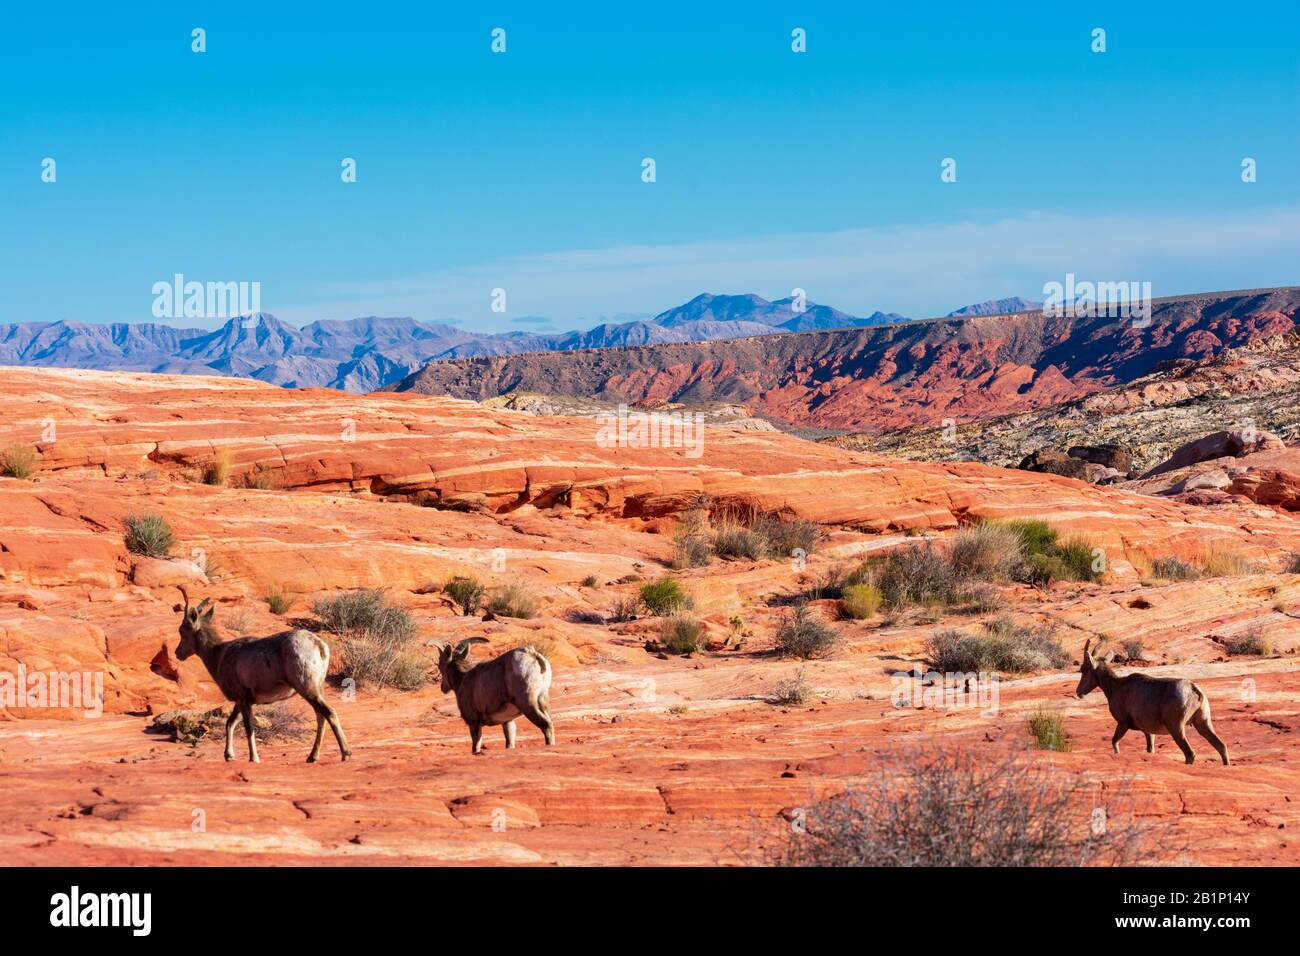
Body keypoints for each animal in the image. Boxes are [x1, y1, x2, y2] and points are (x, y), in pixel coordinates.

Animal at [178, 582, 353, 764]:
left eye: (182, 631)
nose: (178, 653)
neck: (219, 655)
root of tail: (319, 646)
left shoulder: (243, 699)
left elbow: (248, 728)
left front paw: (253, 758)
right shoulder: (243, 700)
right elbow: (230, 723)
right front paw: (229, 756)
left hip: (307, 687)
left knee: (328, 712)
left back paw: (345, 753)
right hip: (317, 688)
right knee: (320, 716)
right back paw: (312, 757)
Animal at [1076, 639, 1227, 764]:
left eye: (1084, 670)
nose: (1078, 692)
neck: (1116, 687)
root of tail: (1194, 690)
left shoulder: (1123, 723)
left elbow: (1114, 742)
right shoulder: (1148, 732)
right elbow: (1150, 749)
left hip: (1176, 728)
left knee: (1190, 753)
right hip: (1203, 723)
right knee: (1221, 746)